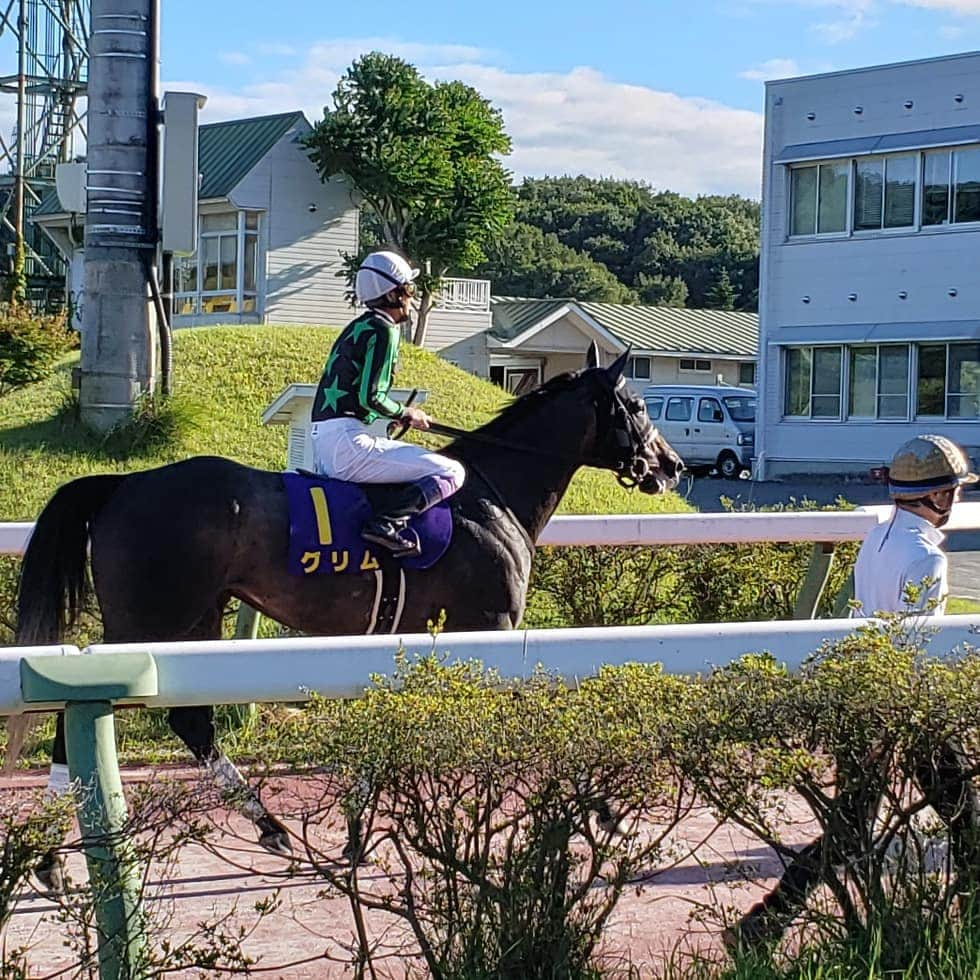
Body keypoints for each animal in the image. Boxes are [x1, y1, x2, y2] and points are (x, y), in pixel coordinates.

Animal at [11, 342, 680, 872]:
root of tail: (124, 483)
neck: (491, 497)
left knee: (184, 722)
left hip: (197, 618)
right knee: (91, 721)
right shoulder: (491, 627)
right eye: (640, 406)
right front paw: (607, 811)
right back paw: (62, 857)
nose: (670, 466)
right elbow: (539, 712)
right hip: (150, 622)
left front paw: (358, 826)